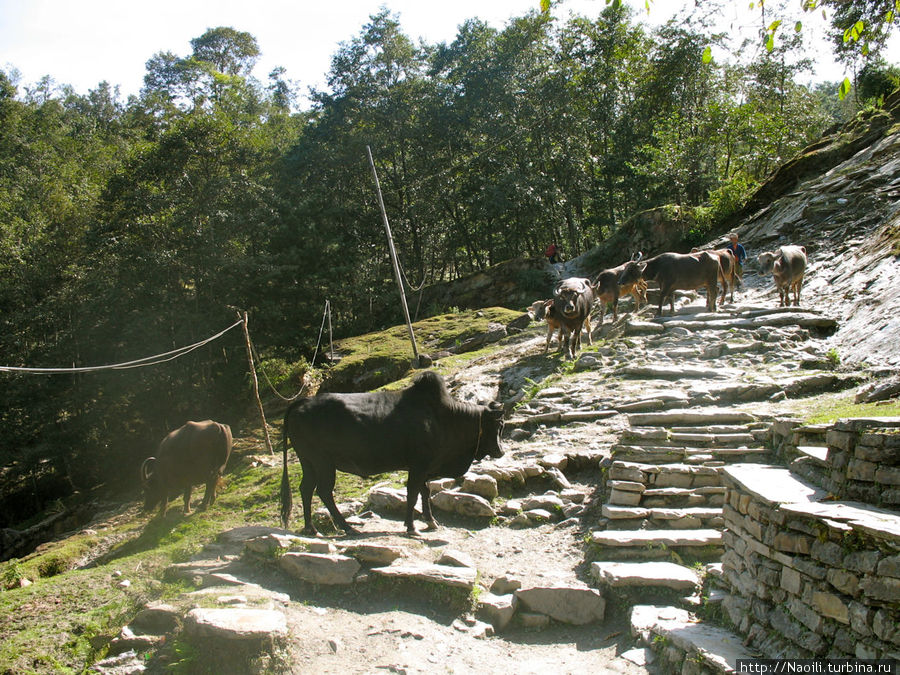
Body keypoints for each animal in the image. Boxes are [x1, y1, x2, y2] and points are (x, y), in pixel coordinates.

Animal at [280, 372, 502, 536]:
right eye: (498, 425)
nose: (501, 451)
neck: (444, 418)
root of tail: (302, 402)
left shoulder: (424, 467)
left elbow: (424, 492)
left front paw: (431, 521)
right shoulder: (419, 465)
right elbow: (412, 494)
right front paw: (411, 527)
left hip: (308, 462)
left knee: (306, 489)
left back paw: (311, 528)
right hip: (323, 462)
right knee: (323, 492)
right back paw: (347, 527)